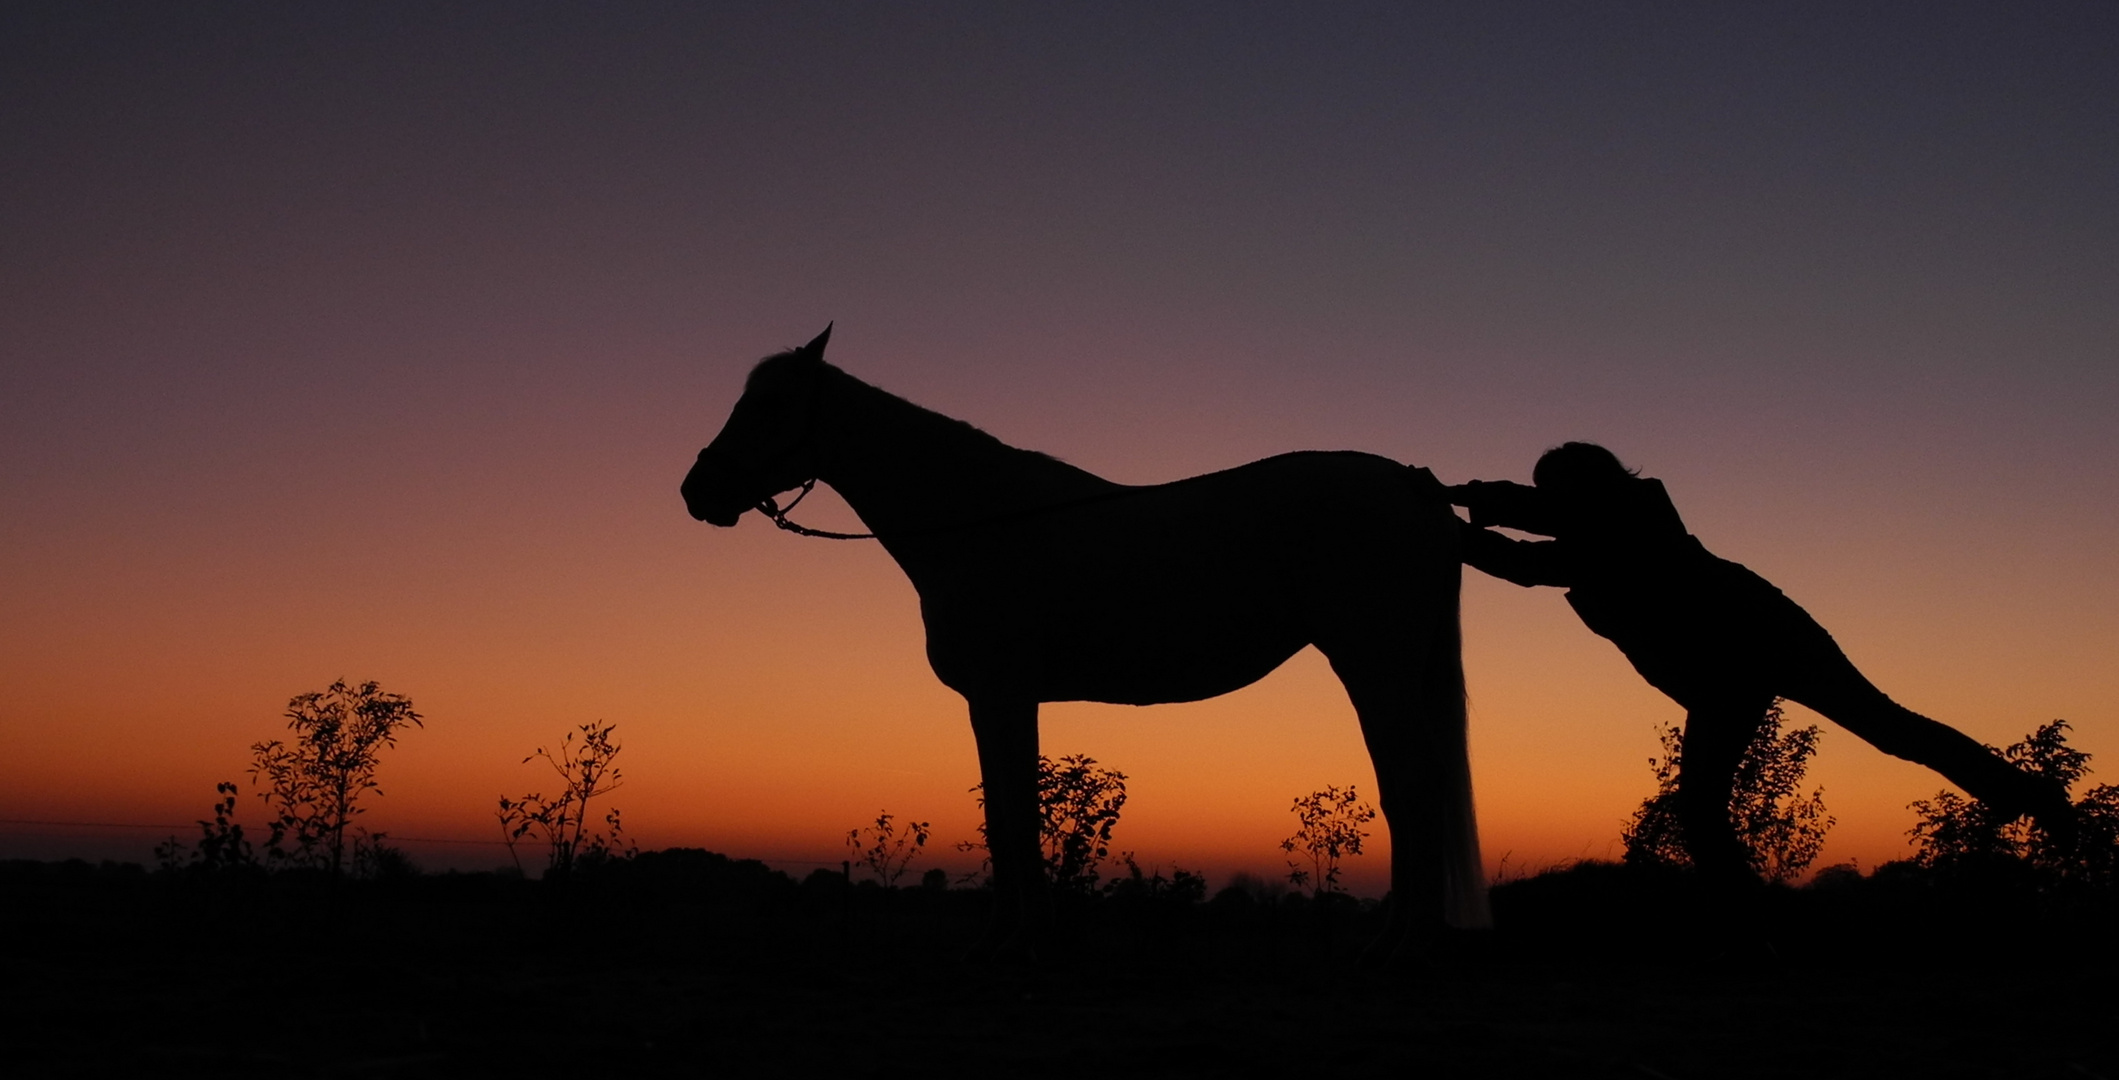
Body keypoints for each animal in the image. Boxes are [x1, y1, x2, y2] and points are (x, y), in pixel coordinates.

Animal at [686, 326, 1483, 952]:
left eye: (770, 404)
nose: (697, 491)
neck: (979, 521)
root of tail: (1411, 483)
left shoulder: (1002, 694)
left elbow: (1014, 816)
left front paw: (1020, 935)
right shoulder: (995, 700)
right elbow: (1004, 811)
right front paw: (1010, 931)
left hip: (1374, 670)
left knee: (1413, 787)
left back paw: (1403, 939)